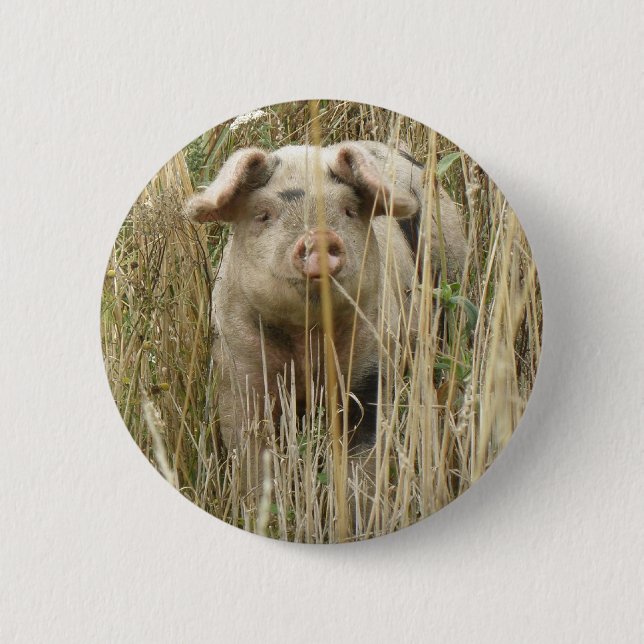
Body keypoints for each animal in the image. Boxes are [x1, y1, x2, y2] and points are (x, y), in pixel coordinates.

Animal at [186, 140, 466, 506]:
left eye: (348, 210)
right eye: (263, 214)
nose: (319, 236)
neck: (307, 339)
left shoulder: (372, 366)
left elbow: (363, 463)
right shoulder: (237, 371)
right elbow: (253, 457)